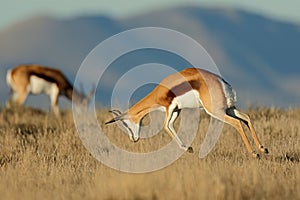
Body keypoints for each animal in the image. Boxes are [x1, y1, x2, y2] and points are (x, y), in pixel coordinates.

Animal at [106, 68, 270, 157]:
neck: (159, 92)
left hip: (215, 111)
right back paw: (263, 149)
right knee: (246, 118)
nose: (133, 139)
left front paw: (188, 149)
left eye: (125, 124)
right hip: (229, 109)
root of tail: (222, 83)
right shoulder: (176, 110)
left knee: (237, 123)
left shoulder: (169, 108)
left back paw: (254, 153)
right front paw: (189, 148)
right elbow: (171, 126)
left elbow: (166, 127)